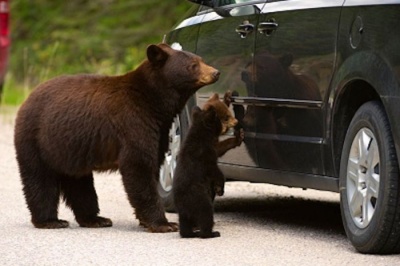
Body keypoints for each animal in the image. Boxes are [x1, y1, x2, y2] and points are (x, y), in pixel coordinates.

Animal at [14, 42, 219, 232]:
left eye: (201, 59)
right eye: (193, 65)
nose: (215, 72)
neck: (155, 102)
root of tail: (27, 99)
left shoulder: (159, 130)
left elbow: (153, 165)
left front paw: (148, 221)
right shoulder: (133, 122)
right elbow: (138, 167)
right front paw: (163, 223)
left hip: (71, 149)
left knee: (79, 182)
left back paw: (95, 219)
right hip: (36, 139)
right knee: (39, 179)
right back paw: (50, 221)